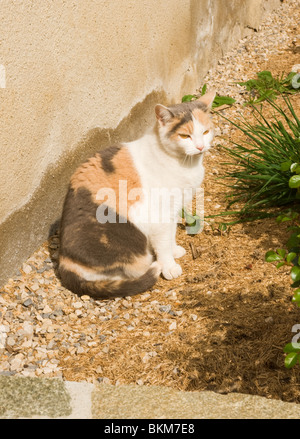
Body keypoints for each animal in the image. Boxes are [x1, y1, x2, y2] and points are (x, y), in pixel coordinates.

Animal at [56, 91, 216, 300]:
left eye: (205, 132)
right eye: (184, 135)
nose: (199, 147)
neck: (185, 164)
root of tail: (64, 262)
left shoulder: (173, 210)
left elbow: (171, 235)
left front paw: (174, 250)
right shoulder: (160, 216)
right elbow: (163, 244)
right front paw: (169, 266)